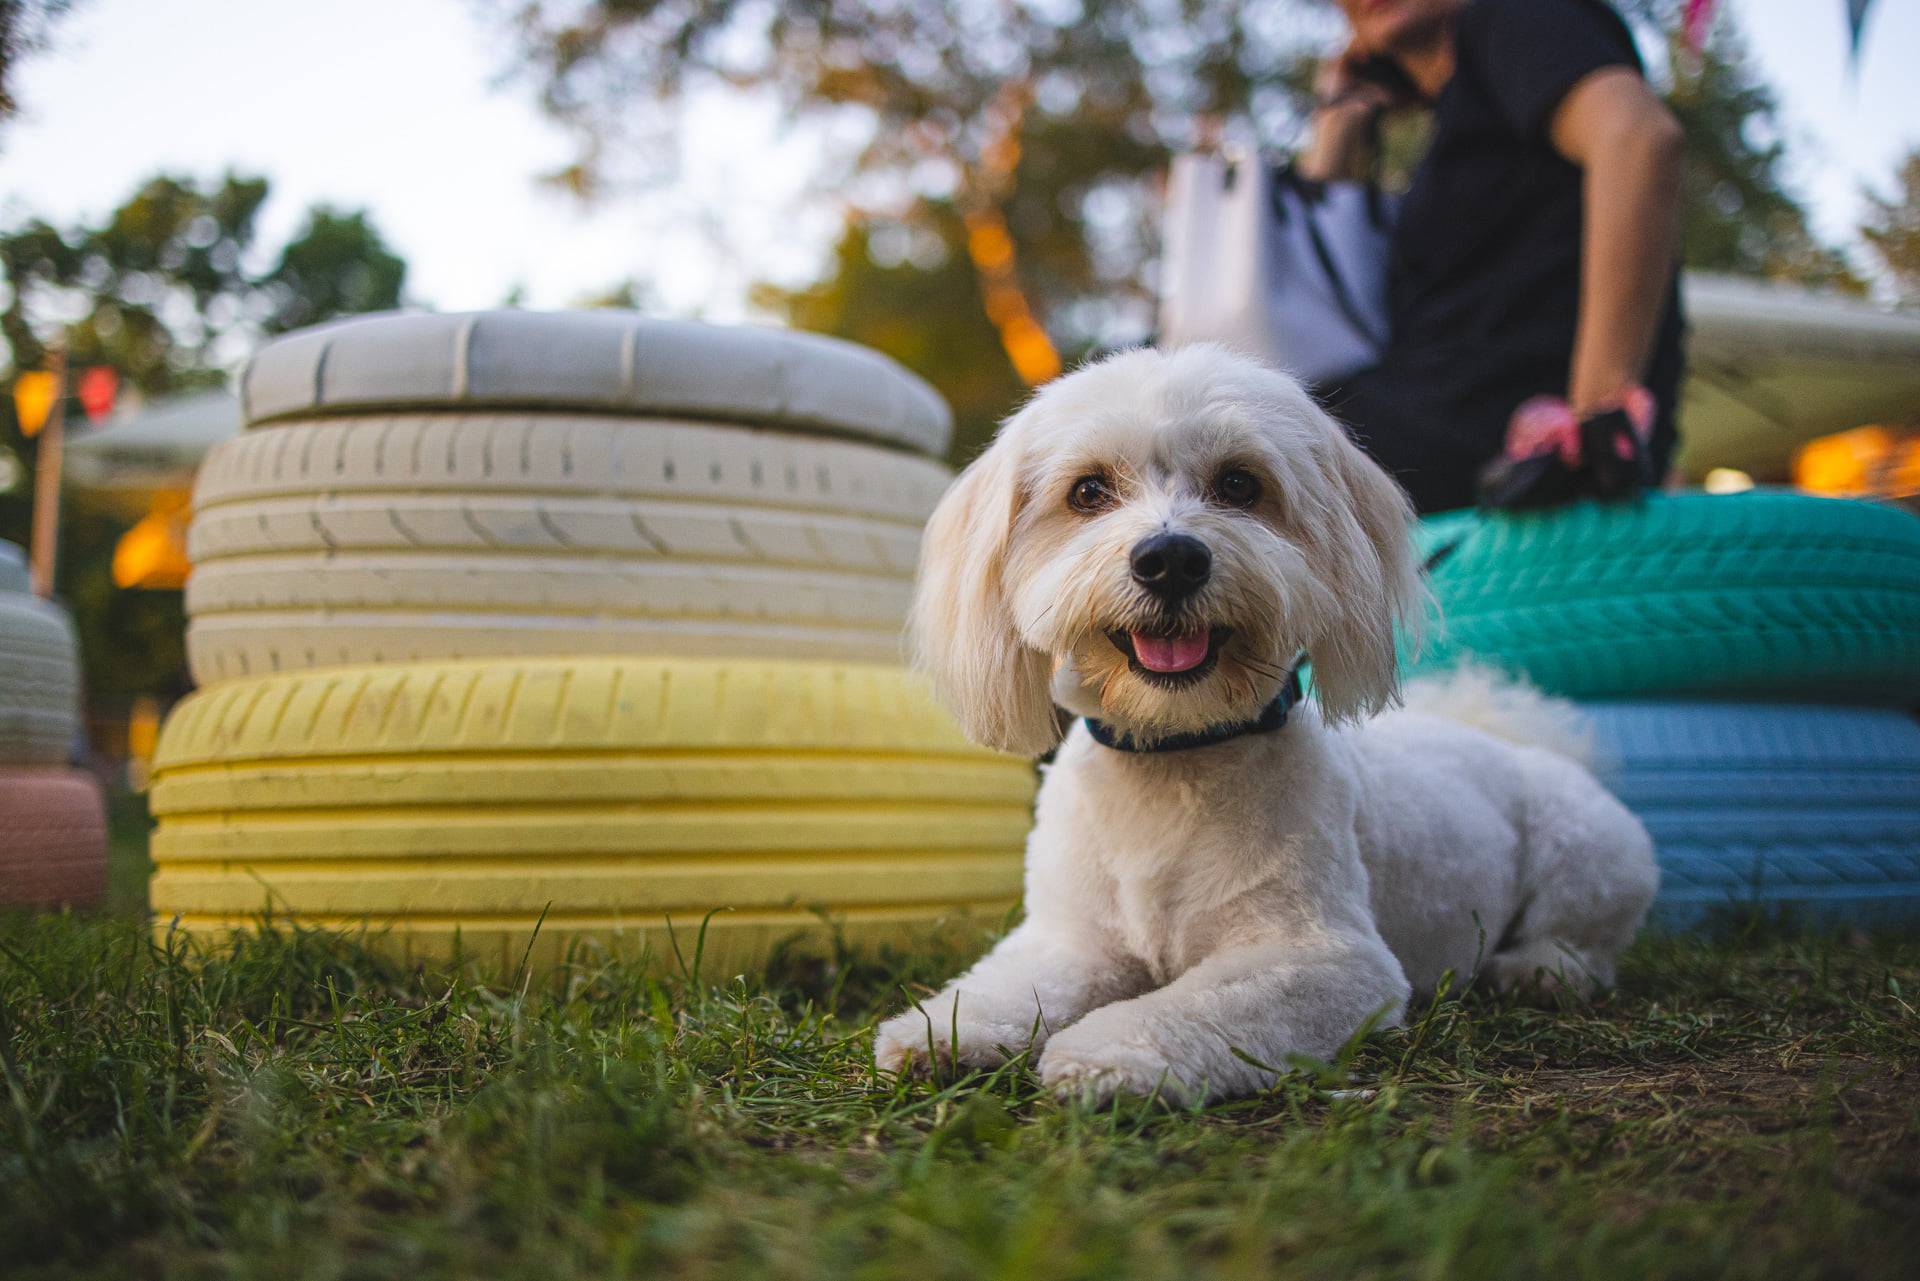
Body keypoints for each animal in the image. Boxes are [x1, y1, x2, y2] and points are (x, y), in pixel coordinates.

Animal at [879, 347, 1658, 1106]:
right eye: (1088, 491)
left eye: (1240, 484)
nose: (1171, 558)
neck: (1174, 754)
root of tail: (1517, 739)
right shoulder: (1071, 942)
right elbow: (1006, 988)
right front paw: (939, 1033)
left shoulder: (1326, 959)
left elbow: (1189, 1007)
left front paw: (1108, 1052)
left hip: (1590, 853)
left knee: (1587, 939)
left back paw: (1539, 967)